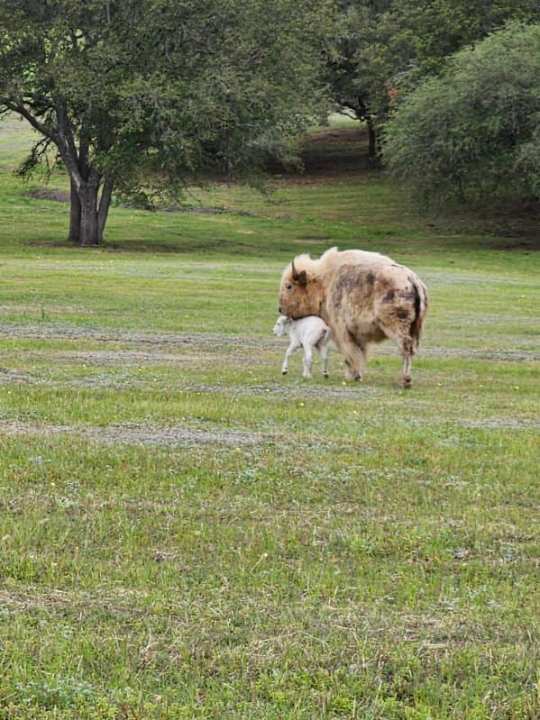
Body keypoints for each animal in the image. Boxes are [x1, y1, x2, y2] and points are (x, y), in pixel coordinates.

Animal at [278, 246, 426, 386]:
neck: (324, 282)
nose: (280, 309)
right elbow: (360, 353)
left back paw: (406, 380)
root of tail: (412, 279)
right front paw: (358, 375)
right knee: (412, 348)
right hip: (415, 328)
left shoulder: (342, 330)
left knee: (405, 347)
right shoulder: (359, 334)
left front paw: (352, 375)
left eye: (289, 286)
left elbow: (350, 354)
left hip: (396, 326)